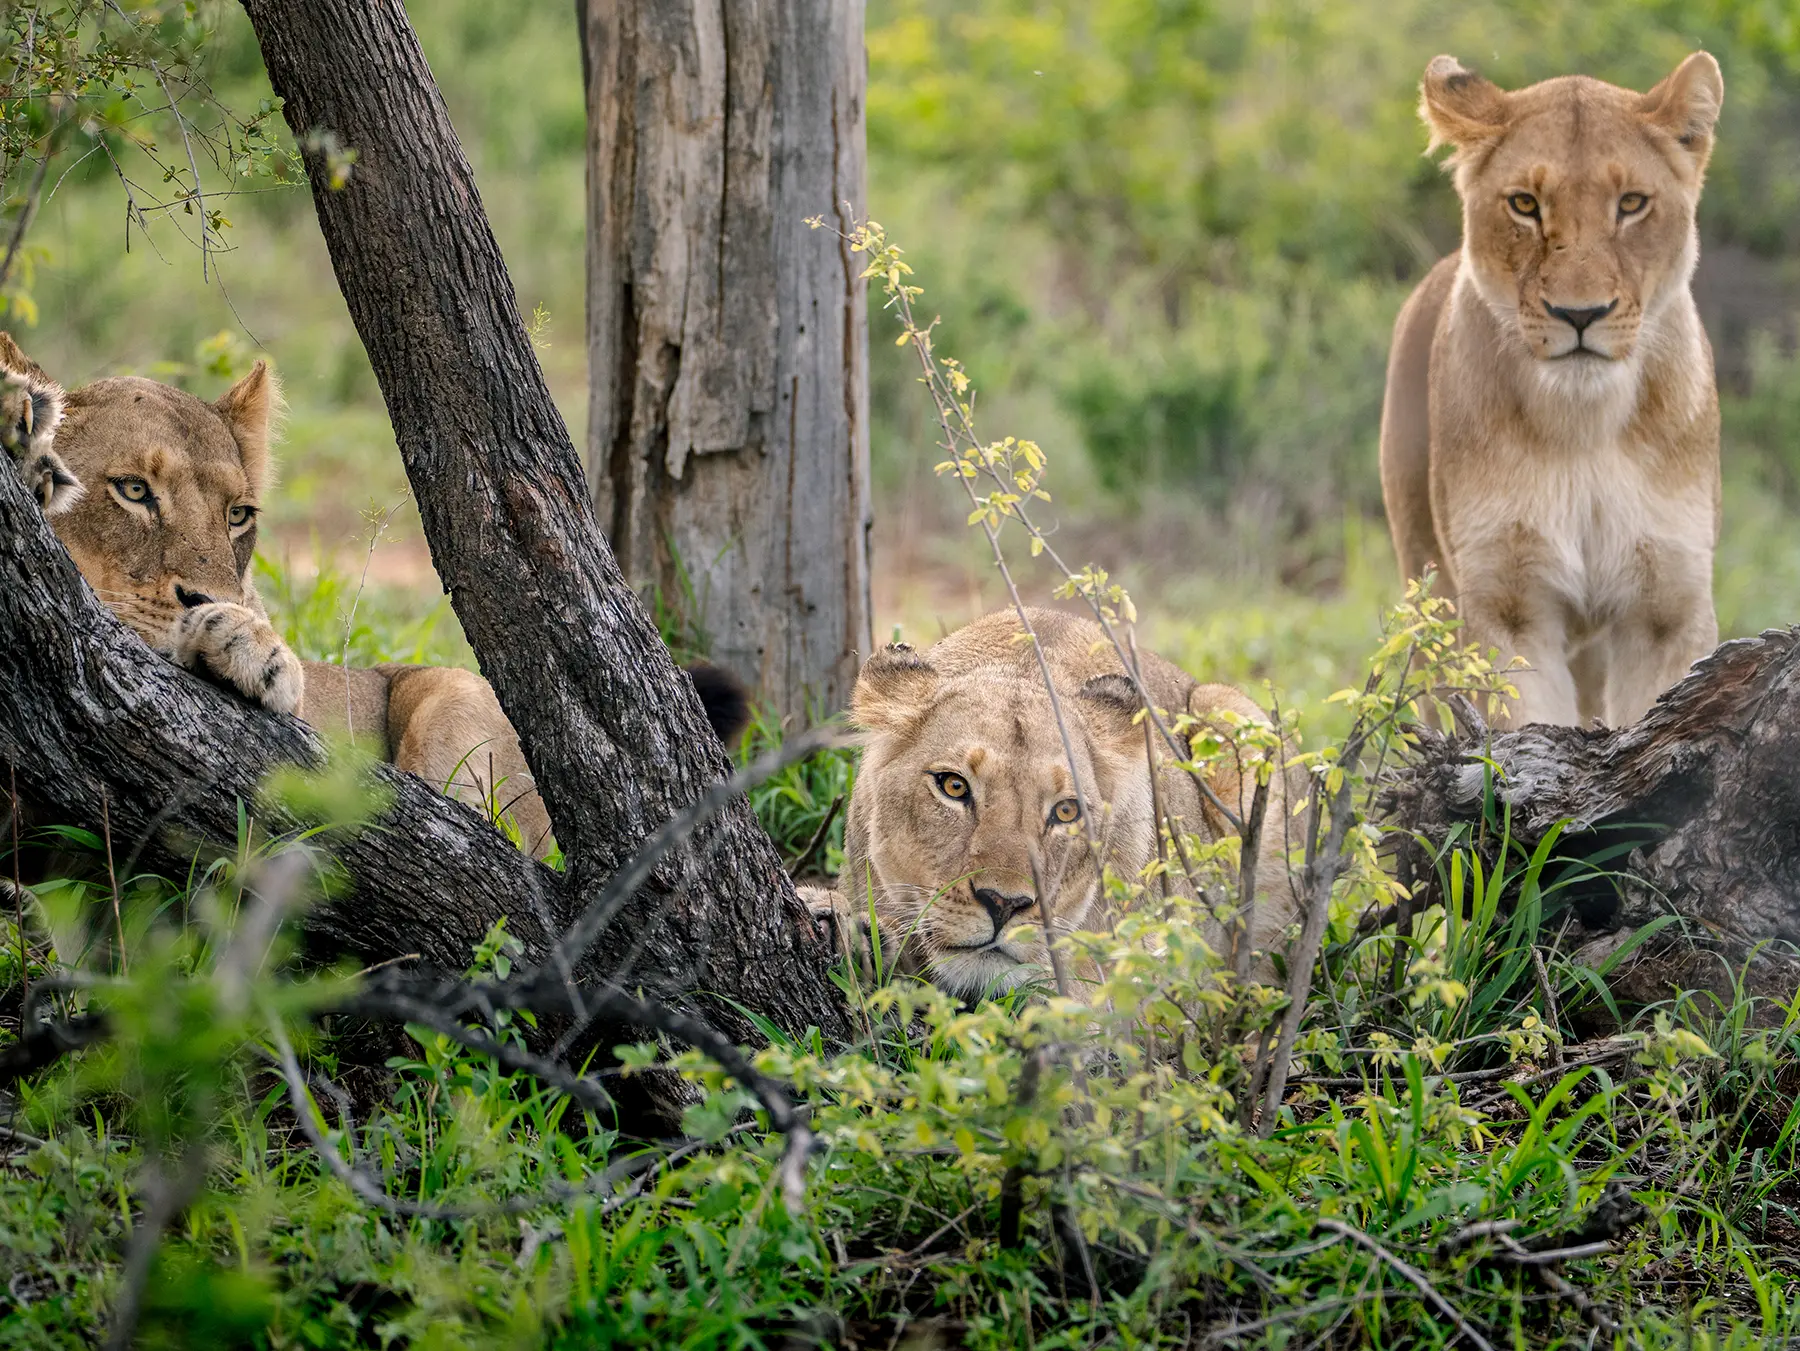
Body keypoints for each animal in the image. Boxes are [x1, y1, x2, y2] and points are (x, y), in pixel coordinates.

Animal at [1379, 52, 1724, 728]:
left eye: (1632, 203)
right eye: (1524, 203)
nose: (1580, 313)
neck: (1585, 425)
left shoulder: (1667, 608)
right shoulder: (1507, 605)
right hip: (1426, 583)